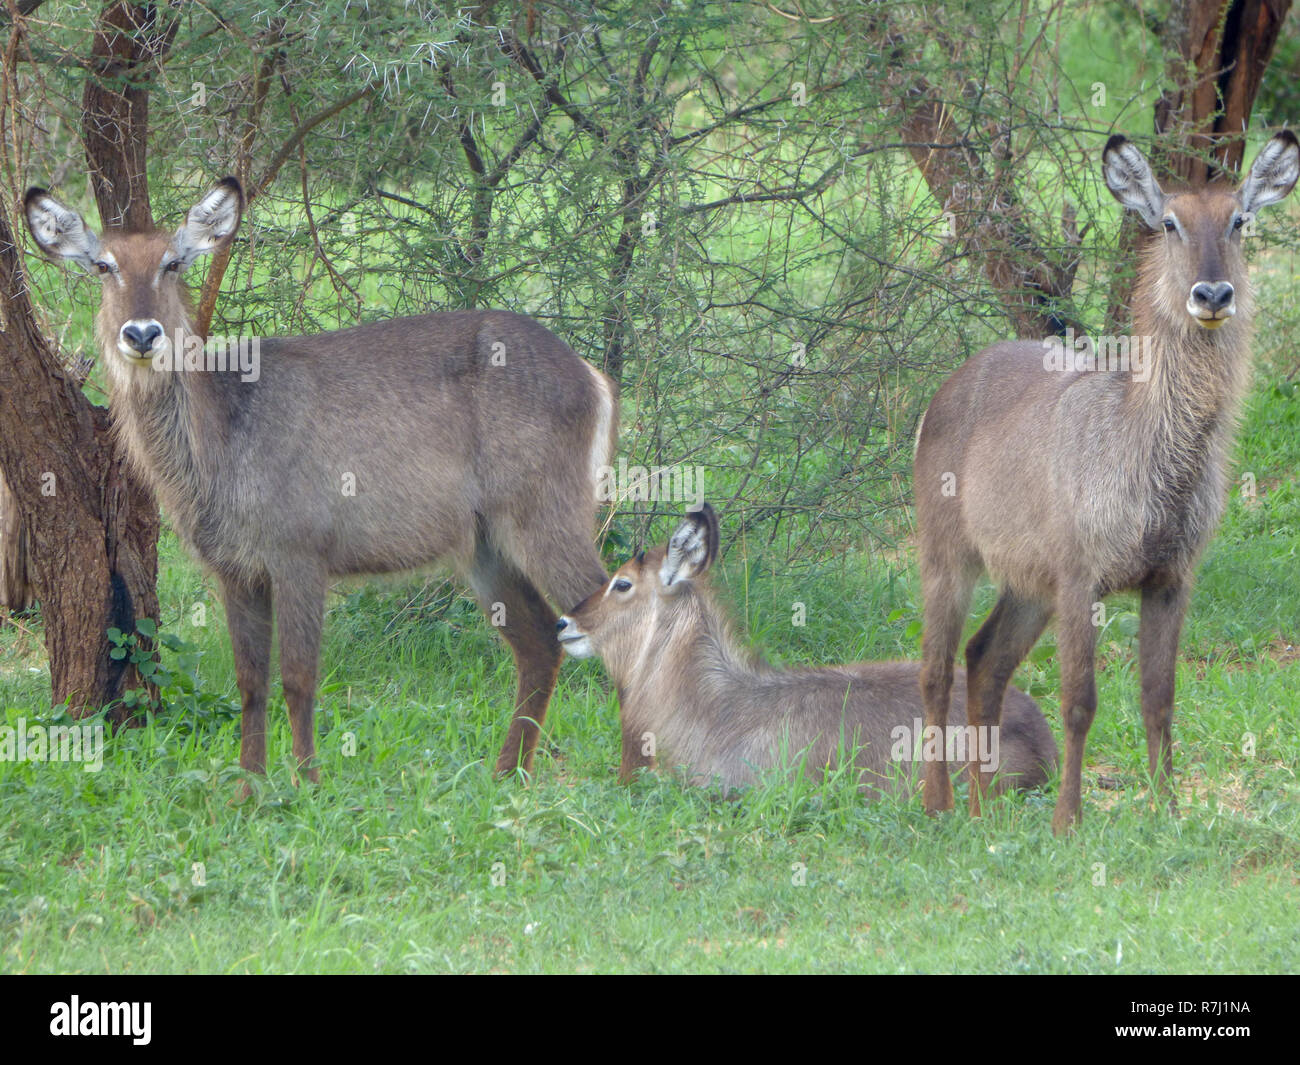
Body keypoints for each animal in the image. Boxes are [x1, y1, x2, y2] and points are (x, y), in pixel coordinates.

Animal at [25, 179, 618, 785]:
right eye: (104, 265)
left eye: (173, 263)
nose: (142, 333)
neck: (222, 437)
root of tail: (593, 377)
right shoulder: (235, 569)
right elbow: (249, 682)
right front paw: (249, 788)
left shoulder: (300, 552)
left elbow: (299, 677)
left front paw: (306, 782)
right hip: (484, 543)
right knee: (541, 640)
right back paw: (504, 773)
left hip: (546, 511)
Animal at [915, 131, 1300, 832]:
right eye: (1170, 222)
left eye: (1238, 219)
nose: (1212, 295)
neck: (1152, 462)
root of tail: (944, 390)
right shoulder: (1081, 576)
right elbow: (1079, 701)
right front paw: (1069, 819)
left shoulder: (1171, 577)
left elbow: (1159, 697)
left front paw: (1167, 808)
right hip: (946, 553)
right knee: (935, 668)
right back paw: (940, 805)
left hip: (1027, 581)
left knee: (984, 660)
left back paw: (986, 808)